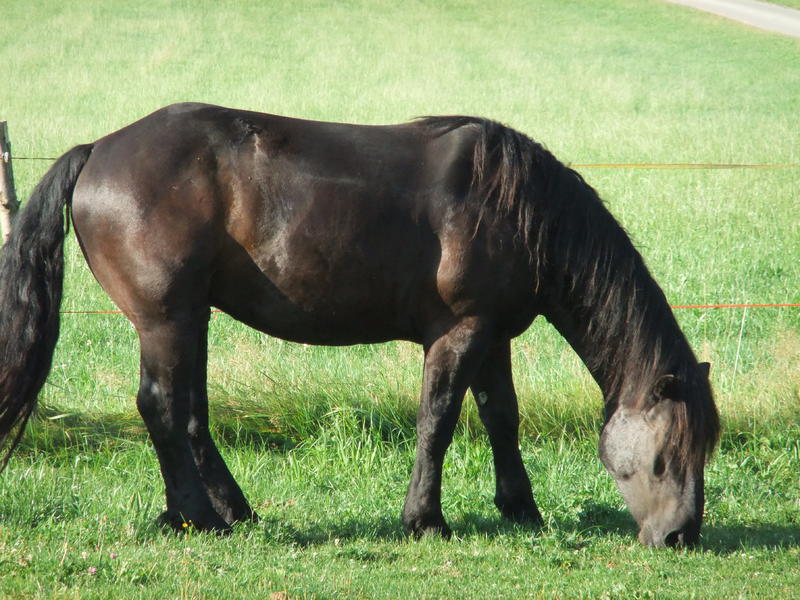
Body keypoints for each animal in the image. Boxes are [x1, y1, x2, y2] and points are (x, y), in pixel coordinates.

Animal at [0, 104, 720, 548]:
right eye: (663, 458)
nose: (680, 536)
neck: (518, 208)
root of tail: (98, 150)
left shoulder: (491, 336)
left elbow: (501, 418)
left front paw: (522, 508)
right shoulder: (458, 333)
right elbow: (439, 421)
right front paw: (425, 520)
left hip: (189, 319)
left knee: (190, 414)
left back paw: (226, 510)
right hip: (167, 319)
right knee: (161, 407)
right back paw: (199, 518)